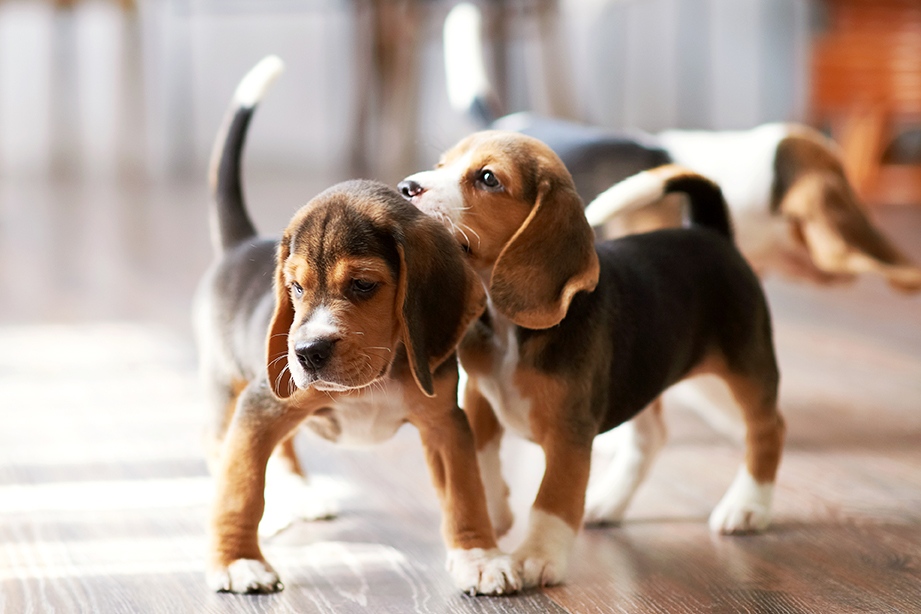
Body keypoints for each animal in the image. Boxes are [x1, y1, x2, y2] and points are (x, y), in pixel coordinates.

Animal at [194, 56, 516, 596]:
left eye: (364, 285)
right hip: (229, 391)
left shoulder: (444, 423)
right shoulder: (260, 406)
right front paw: (237, 561)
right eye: (295, 288)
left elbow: (465, 492)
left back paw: (300, 493)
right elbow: (241, 489)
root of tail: (242, 245)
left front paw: (479, 555)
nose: (306, 354)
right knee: (230, 456)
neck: (374, 379)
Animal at [398, 134, 784, 592]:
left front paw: (538, 556)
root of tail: (711, 233)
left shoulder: (570, 431)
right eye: (442, 164)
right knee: (650, 437)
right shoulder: (478, 394)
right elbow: (483, 458)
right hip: (640, 374)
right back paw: (609, 501)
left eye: (488, 178)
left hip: (743, 370)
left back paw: (748, 505)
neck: (509, 326)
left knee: (767, 429)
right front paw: (493, 512)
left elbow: (552, 499)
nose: (406, 188)